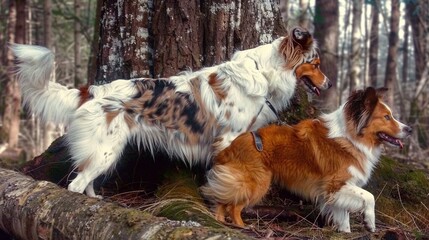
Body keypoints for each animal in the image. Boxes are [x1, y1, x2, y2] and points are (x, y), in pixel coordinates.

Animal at [11, 27, 330, 198]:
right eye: (315, 63)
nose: (328, 84)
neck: (263, 72)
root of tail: (95, 90)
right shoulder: (228, 138)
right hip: (105, 151)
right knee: (75, 185)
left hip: (103, 153)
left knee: (84, 179)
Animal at [201, 87, 412, 232]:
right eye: (386, 117)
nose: (409, 129)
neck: (349, 137)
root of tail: (230, 147)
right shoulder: (334, 185)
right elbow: (369, 197)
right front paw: (369, 222)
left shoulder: (336, 191)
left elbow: (342, 215)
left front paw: (345, 232)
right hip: (257, 183)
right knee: (234, 205)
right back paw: (242, 226)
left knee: (222, 200)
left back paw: (220, 221)